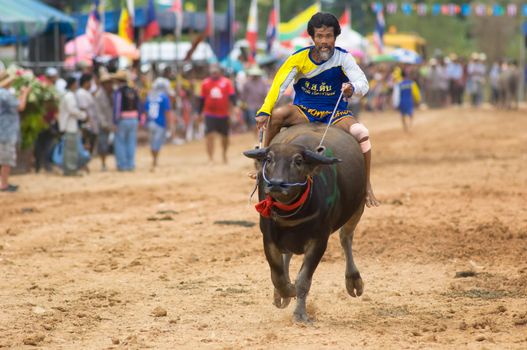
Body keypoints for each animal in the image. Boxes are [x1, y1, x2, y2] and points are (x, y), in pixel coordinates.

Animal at [244, 123, 366, 322]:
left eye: (298, 161)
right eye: (269, 159)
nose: (277, 183)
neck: (290, 215)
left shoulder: (319, 241)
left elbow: (303, 280)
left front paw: (300, 313)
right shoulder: (268, 239)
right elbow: (277, 276)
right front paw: (286, 292)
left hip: (358, 207)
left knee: (346, 238)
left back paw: (353, 281)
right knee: (287, 256)